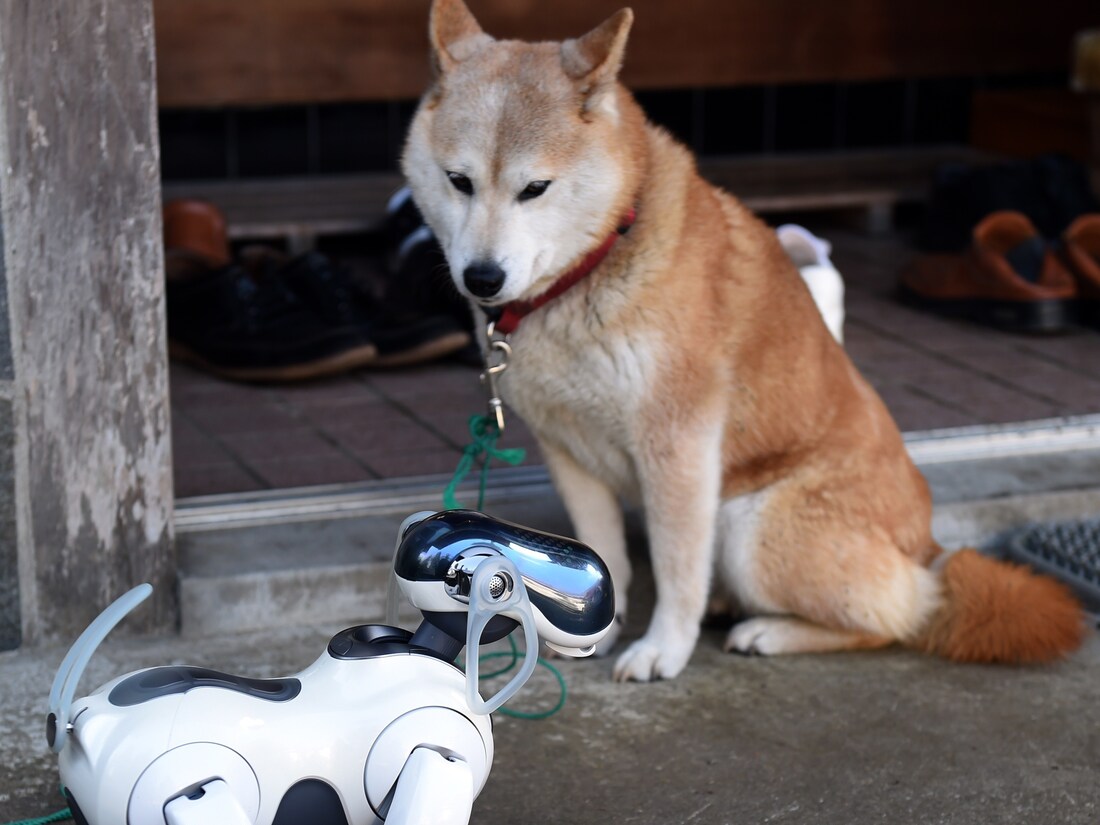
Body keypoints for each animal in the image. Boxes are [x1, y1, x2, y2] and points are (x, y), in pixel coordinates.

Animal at [402, 0, 1082, 686]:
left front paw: (663, 648)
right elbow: (599, 551)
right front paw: (585, 629)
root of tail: (929, 550)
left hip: (748, 524)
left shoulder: (679, 445)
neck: (595, 262)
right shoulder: (567, 448)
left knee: (894, 618)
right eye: (458, 181)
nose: (481, 277)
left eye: (535, 189)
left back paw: (769, 631)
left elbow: (678, 568)